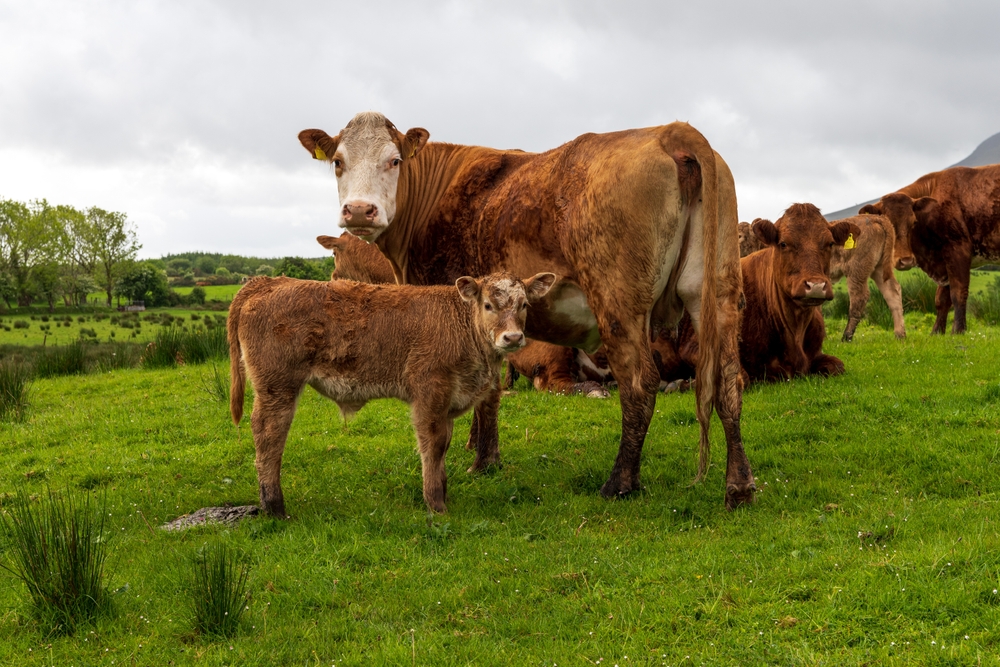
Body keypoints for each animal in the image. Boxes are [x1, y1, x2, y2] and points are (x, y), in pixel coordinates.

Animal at [229, 270, 556, 516]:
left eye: (524, 305)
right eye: (488, 305)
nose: (512, 337)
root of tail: (269, 281)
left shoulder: (448, 400)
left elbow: (445, 445)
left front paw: (443, 492)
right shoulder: (429, 392)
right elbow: (433, 445)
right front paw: (435, 503)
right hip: (277, 386)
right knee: (269, 436)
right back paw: (274, 506)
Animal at [300, 112, 752, 508]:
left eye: (394, 160)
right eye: (338, 162)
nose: (360, 210)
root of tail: (671, 131)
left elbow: (487, 393)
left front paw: (482, 460)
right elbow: (489, 387)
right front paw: (480, 449)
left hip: (619, 303)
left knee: (641, 384)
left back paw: (620, 482)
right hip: (717, 293)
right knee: (729, 381)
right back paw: (739, 486)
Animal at [860, 165, 1000, 336]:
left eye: (913, 222)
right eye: (888, 223)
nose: (906, 260)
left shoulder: (958, 251)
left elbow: (958, 293)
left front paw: (958, 331)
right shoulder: (945, 263)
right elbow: (941, 299)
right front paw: (937, 332)